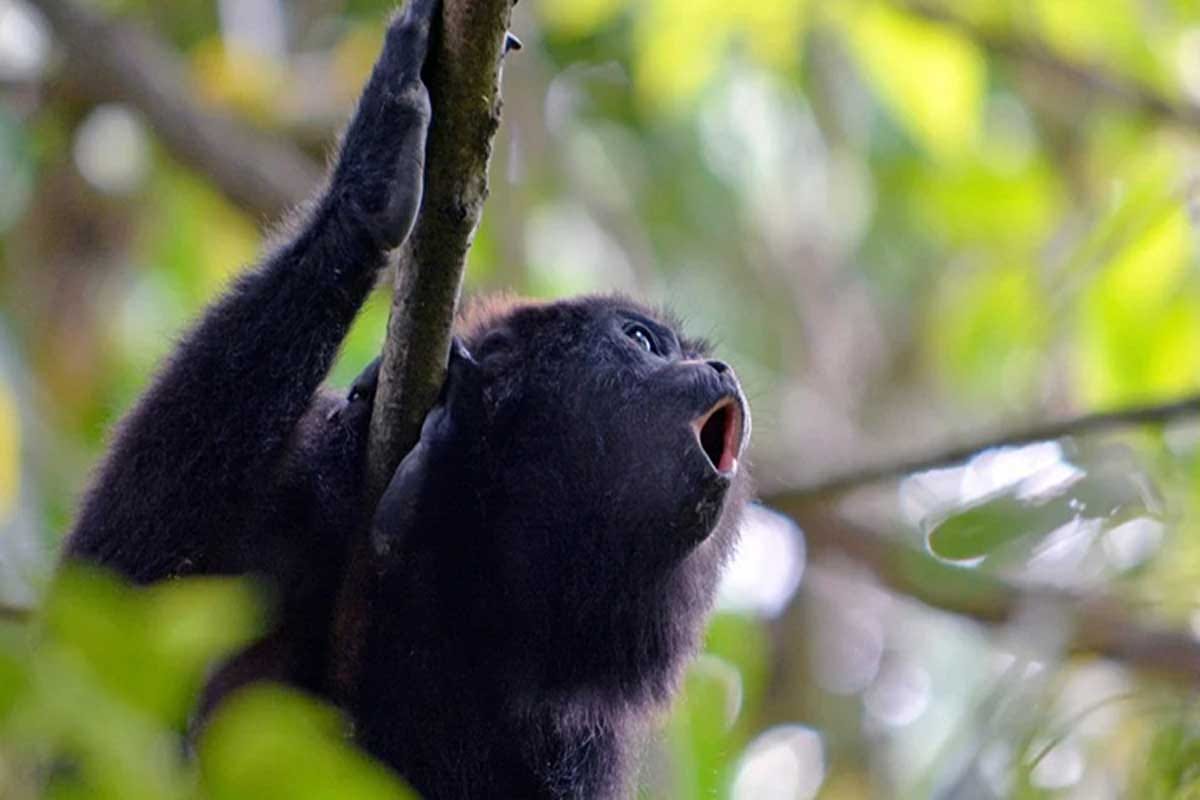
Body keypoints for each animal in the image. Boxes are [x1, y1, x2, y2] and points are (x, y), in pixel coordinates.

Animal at [61, 0, 752, 796]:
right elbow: (112, 618)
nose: (723, 369)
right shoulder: (304, 477)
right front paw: (373, 174)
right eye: (642, 340)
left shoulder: (581, 743)